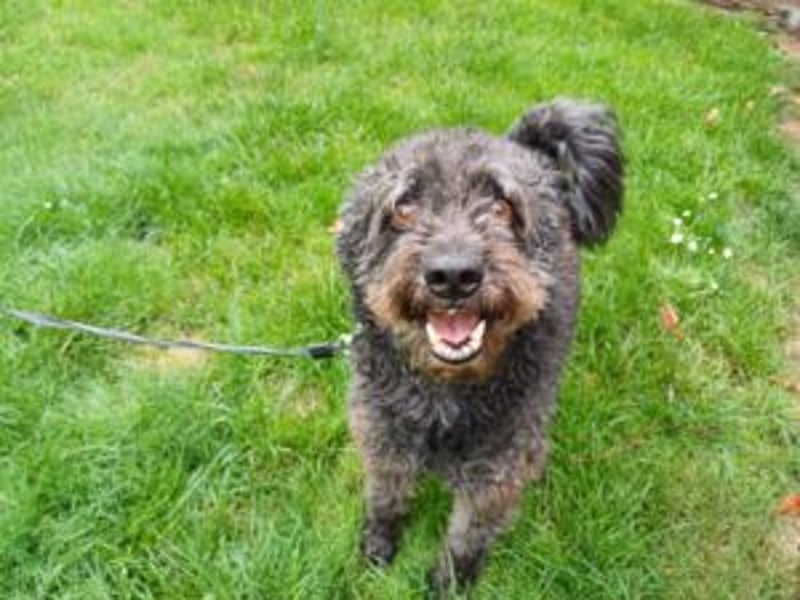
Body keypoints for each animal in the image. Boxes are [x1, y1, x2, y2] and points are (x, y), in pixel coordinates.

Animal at [335, 98, 623, 592]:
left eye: (502, 205)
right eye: (403, 207)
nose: (453, 275)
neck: (443, 393)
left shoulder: (500, 466)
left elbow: (469, 532)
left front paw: (450, 582)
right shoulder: (380, 431)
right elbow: (385, 493)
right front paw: (378, 544)